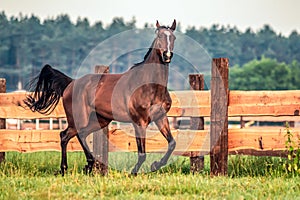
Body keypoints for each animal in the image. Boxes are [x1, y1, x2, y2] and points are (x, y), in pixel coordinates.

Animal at [25, 19, 178, 175]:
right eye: (159, 36)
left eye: (173, 38)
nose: (167, 55)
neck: (149, 86)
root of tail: (71, 83)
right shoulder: (139, 121)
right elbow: (142, 153)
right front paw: (134, 172)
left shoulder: (160, 117)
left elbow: (172, 143)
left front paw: (156, 164)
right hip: (78, 119)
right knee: (65, 135)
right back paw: (65, 169)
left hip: (99, 120)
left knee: (81, 134)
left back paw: (89, 164)